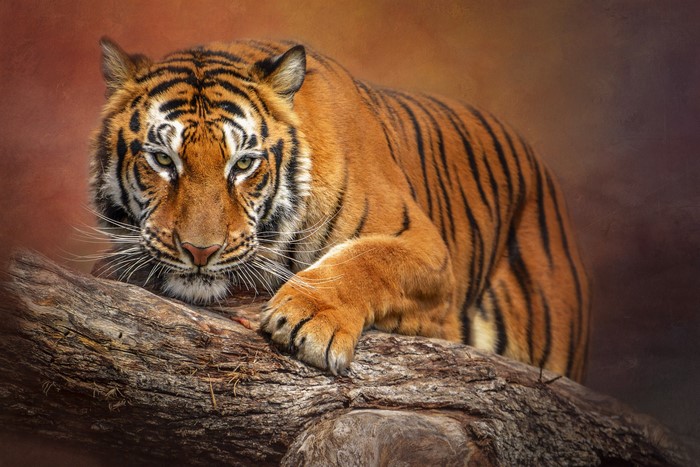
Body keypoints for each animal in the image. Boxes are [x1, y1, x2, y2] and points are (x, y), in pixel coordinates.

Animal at [91, 38, 590, 382]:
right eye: (163, 160)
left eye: (243, 164)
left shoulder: (428, 250)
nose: (200, 252)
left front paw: (310, 320)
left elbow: (367, 259)